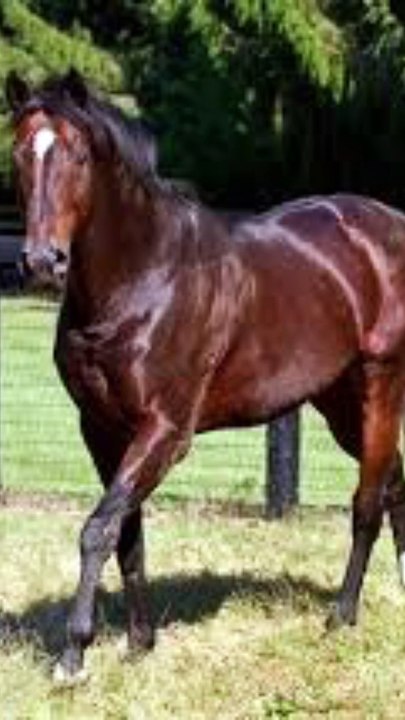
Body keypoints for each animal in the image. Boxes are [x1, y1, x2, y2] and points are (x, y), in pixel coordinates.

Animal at [6, 68, 405, 684]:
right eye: (21, 153)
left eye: (77, 155)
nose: (43, 262)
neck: (143, 277)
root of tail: (387, 224)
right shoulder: (100, 429)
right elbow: (127, 534)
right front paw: (139, 644)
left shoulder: (166, 430)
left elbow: (97, 529)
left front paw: (73, 656)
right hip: (340, 403)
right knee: (396, 485)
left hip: (382, 383)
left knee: (368, 501)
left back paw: (340, 617)